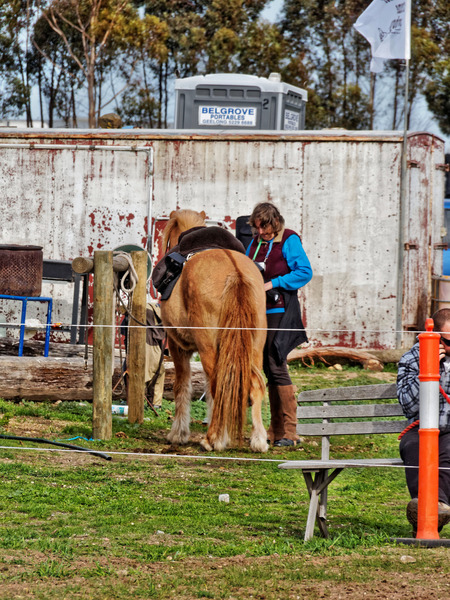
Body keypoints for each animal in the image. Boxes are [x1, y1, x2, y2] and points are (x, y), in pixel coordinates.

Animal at [160, 209, 268, 452]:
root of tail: (235, 273)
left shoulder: (177, 346)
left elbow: (183, 386)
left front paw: (178, 433)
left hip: (208, 346)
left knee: (220, 384)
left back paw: (213, 439)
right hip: (255, 347)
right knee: (255, 385)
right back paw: (258, 440)